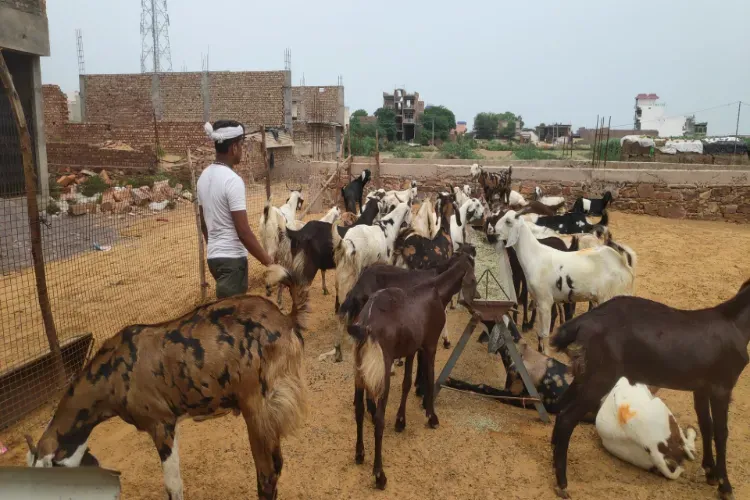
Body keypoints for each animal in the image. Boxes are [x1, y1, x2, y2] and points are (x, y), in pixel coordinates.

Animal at [25, 264, 310, 498]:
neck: (112, 374)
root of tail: (286, 319)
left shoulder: (161, 424)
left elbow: (173, 485)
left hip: (258, 405)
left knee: (268, 472)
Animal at [346, 256, 476, 490]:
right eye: (475, 279)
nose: (476, 298)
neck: (436, 289)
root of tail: (366, 326)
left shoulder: (410, 349)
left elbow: (407, 382)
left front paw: (401, 420)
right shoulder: (429, 345)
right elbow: (430, 377)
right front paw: (431, 415)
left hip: (360, 372)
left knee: (359, 410)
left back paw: (360, 453)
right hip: (382, 371)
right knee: (378, 418)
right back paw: (379, 474)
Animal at [496, 211, 636, 356]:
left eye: (508, 221)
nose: (493, 233)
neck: (536, 256)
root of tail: (624, 263)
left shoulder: (545, 301)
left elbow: (545, 333)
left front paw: (546, 354)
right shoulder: (538, 300)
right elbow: (540, 331)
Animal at [548, 278, 750, 500]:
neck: (735, 324)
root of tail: (583, 322)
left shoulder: (702, 389)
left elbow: (707, 425)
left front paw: (710, 472)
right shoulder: (722, 387)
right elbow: (721, 433)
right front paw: (725, 486)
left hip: (585, 374)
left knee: (559, 408)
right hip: (602, 376)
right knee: (567, 419)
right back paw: (562, 483)